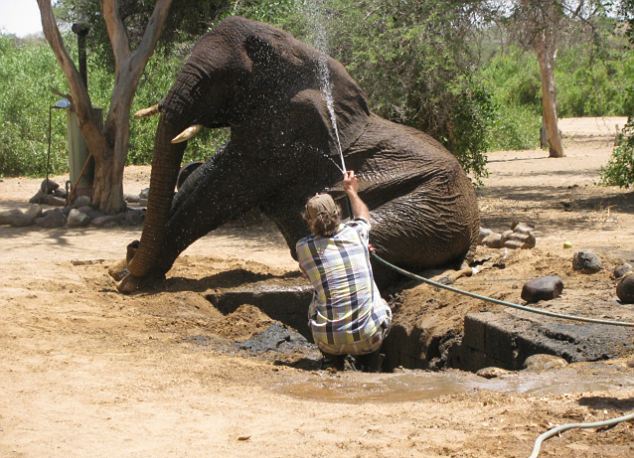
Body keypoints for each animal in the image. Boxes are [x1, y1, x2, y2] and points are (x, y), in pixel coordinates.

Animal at [117, 17, 478, 294]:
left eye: (219, 81)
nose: (131, 250)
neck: (295, 53)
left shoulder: (282, 140)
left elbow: (218, 190)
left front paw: (133, 280)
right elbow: (203, 177)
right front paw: (125, 269)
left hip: (437, 207)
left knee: (373, 237)